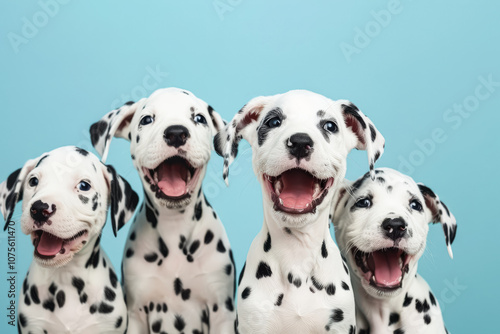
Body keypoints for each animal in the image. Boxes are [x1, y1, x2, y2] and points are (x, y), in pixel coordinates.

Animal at [90, 87, 236, 334]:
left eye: (199, 118)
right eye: (147, 119)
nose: (176, 133)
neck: (174, 226)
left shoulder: (222, 312)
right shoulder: (136, 314)